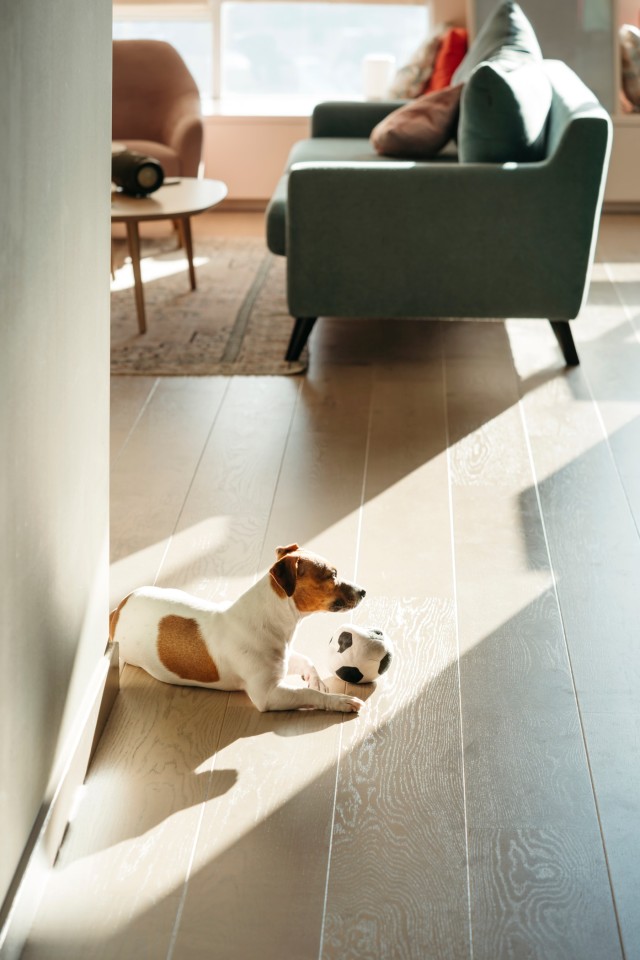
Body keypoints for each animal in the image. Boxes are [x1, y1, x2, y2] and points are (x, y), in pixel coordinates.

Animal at [111, 540, 364, 712]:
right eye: (332, 575)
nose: (363, 591)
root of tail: (118, 610)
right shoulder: (269, 694)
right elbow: (307, 693)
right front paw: (339, 701)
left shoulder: (281, 661)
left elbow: (307, 662)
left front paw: (317, 681)